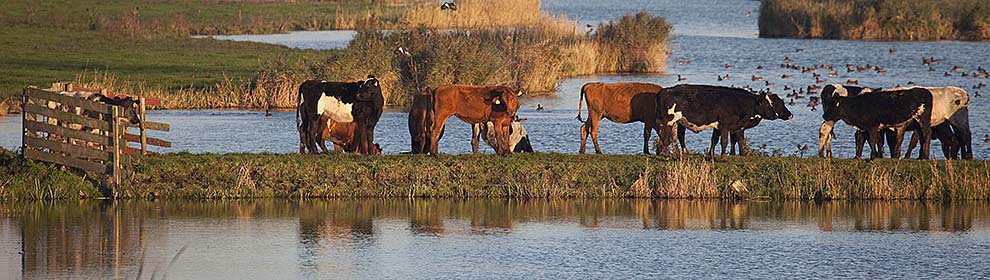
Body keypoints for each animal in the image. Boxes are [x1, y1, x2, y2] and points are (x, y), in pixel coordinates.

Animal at [660, 84, 800, 156]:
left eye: (774, 103)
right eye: (769, 104)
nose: (790, 115)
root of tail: (665, 90)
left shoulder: (727, 127)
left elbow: (719, 140)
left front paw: (712, 155)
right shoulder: (726, 126)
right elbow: (727, 141)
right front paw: (725, 156)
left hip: (678, 122)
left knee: (676, 137)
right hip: (668, 121)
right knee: (667, 138)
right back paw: (669, 155)